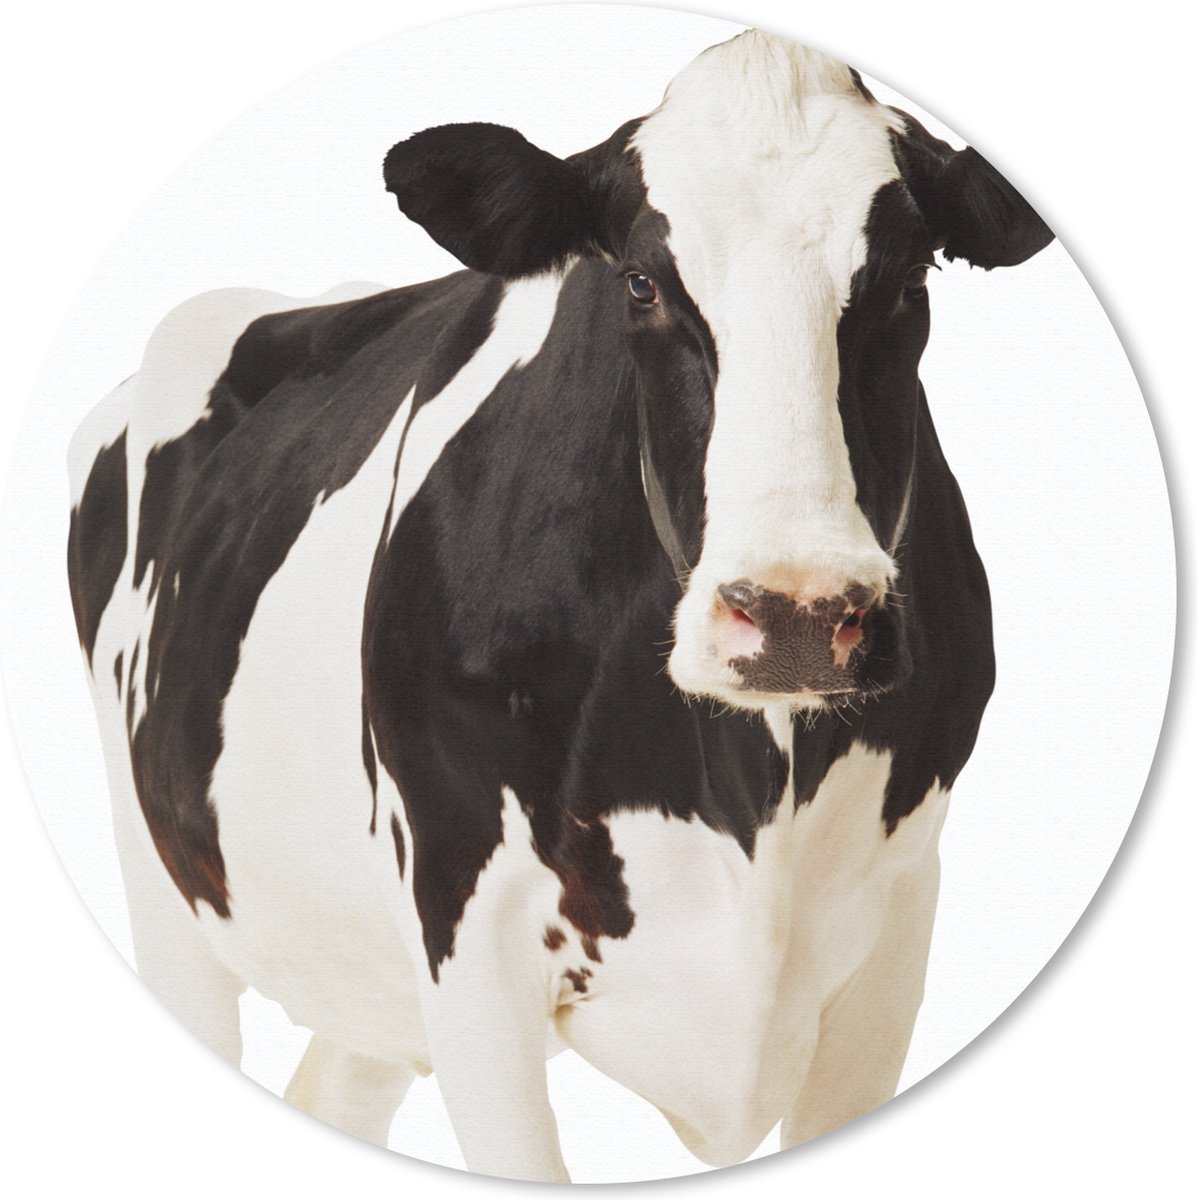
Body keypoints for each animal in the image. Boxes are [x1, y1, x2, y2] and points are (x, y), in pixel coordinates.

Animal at [66, 29, 1052, 1182]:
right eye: (640, 282)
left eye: (909, 277)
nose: (798, 614)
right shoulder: (465, 932)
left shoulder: (893, 936)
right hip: (164, 883)